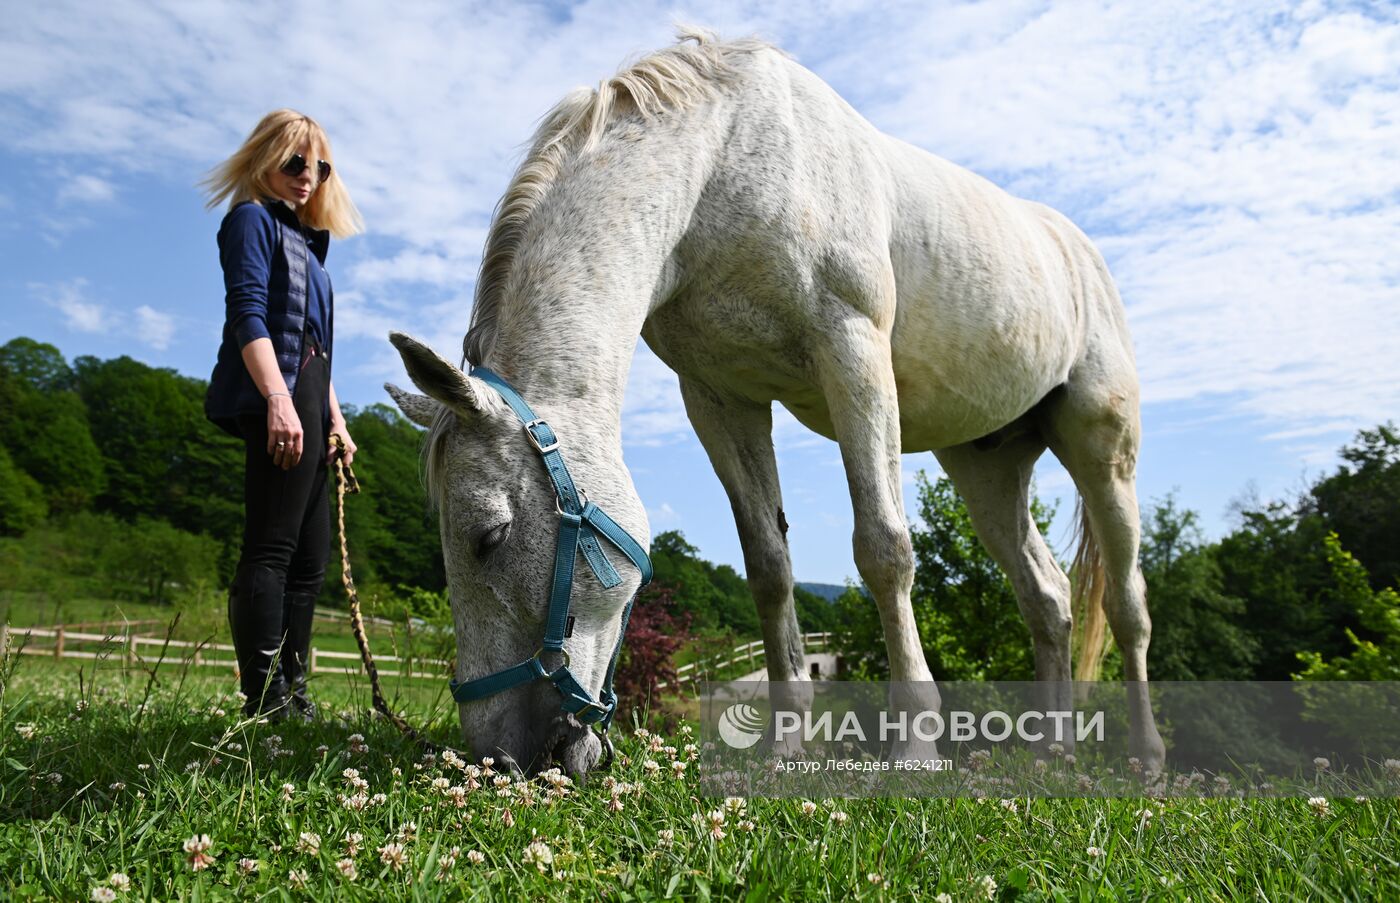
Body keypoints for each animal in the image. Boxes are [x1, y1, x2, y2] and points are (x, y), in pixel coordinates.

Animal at [389, 29, 1164, 772]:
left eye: (488, 537)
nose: (499, 754)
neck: (722, 164)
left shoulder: (853, 352)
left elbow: (884, 549)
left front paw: (915, 744)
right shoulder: (720, 398)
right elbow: (769, 566)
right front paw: (787, 742)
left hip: (1102, 451)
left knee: (1127, 603)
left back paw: (1146, 757)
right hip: (986, 465)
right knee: (1049, 598)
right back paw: (1052, 749)